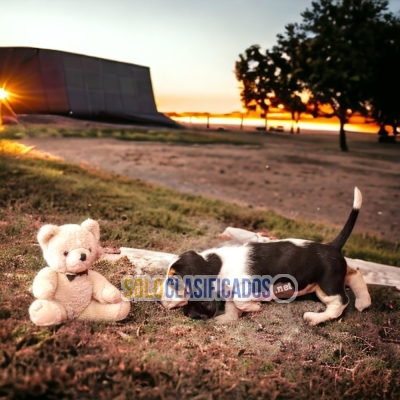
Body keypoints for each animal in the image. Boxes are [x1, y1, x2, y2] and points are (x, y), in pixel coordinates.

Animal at [162, 188, 372, 324]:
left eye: (174, 282)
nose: (161, 301)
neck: (215, 264)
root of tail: (332, 246)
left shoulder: (244, 288)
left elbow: (240, 302)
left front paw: (255, 307)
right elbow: (231, 307)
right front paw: (226, 319)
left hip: (327, 285)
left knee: (340, 303)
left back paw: (315, 318)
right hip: (331, 280)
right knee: (355, 275)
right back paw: (364, 302)